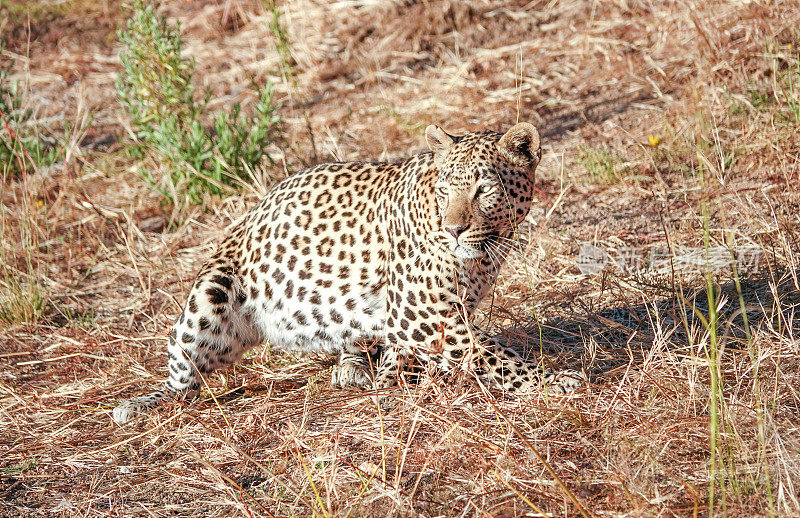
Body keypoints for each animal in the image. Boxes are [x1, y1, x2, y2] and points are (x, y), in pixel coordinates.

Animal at [112, 123, 584, 426]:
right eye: (445, 191)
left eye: (484, 190)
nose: (453, 228)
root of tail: (249, 216)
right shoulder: (428, 315)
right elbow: (494, 355)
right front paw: (553, 383)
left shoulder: (436, 313)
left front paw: (394, 376)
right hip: (209, 297)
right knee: (183, 378)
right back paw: (138, 406)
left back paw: (354, 366)